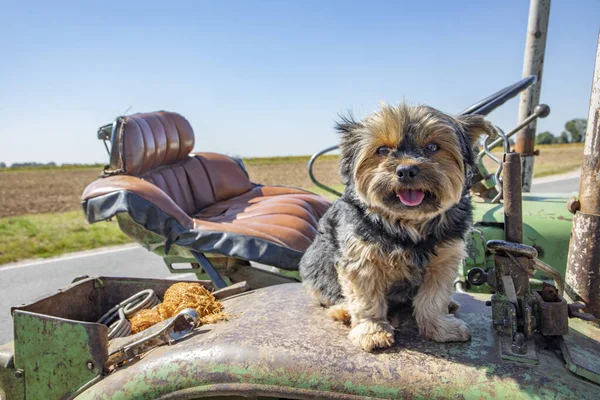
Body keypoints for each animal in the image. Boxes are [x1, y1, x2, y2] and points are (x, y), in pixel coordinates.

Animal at [298, 103, 496, 350]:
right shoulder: (361, 259)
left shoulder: (445, 259)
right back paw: (343, 311)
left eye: (432, 147)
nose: (406, 170)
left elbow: (434, 297)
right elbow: (365, 299)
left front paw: (439, 327)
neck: (408, 223)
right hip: (314, 266)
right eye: (383, 150)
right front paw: (372, 331)